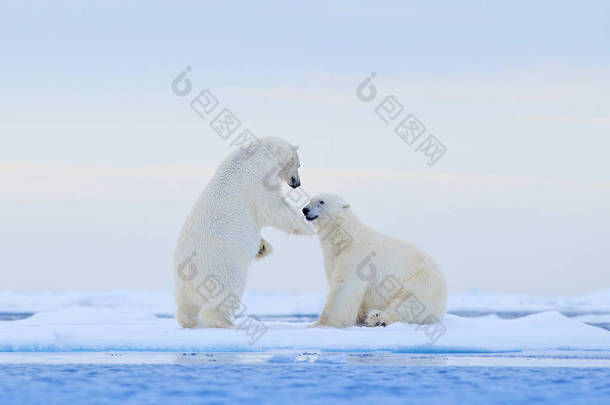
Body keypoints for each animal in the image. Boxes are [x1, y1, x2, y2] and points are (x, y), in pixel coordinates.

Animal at [172, 137, 312, 326]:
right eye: (298, 164)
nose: (297, 183)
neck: (256, 155)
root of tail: (187, 269)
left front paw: (263, 247)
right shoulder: (257, 180)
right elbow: (272, 208)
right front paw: (307, 226)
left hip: (181, 284)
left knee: (186, 305)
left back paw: (189, 321)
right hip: (221, 265)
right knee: (227, 289)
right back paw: (225, 322)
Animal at [302, 193, 444, 328]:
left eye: (321, 202)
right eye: (310, 200)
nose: (305, 209)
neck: (344, 239)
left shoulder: (356, 256)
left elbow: (344, 286)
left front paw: (322, 324)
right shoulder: (332, 258)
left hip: (422, 281)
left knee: (409, 302)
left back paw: (378, 318)